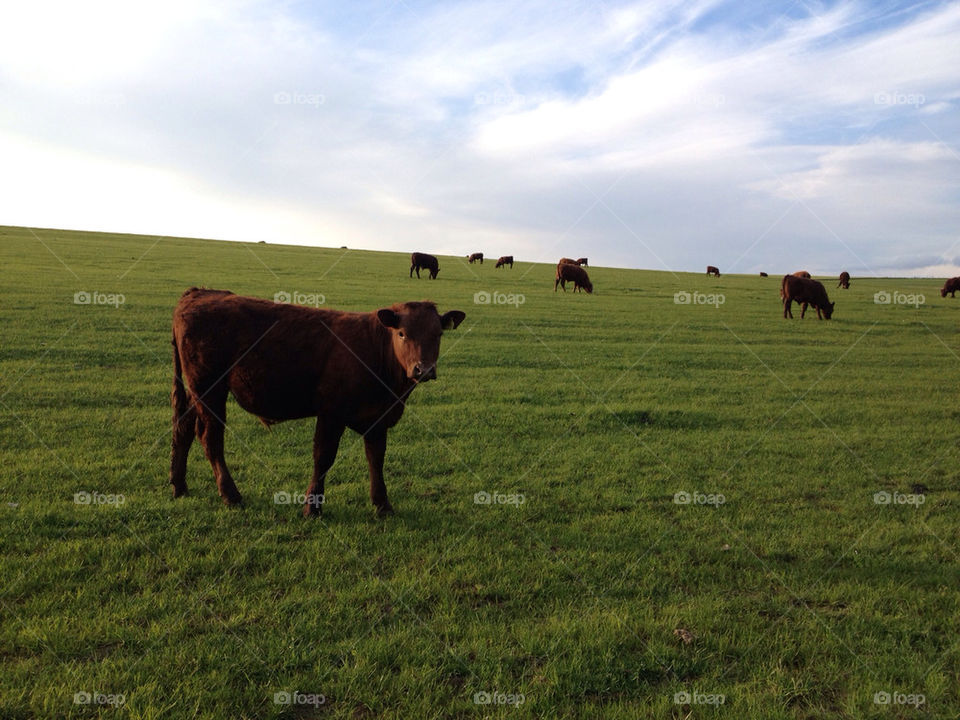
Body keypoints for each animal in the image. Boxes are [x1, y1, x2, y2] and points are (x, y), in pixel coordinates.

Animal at [169, 288, 466, 517]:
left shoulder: (377, 417)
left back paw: (179, 486)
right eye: (402, 333)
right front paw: (312, 507)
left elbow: (376, 458)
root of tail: (200, 292)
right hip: (210, 390)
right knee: (210, 438)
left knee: (183, 429)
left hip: (198, 393)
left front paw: (383, 505)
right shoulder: (331, 413)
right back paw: (231, 495)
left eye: (438, 334)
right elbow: (323, 458)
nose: (423, 369)